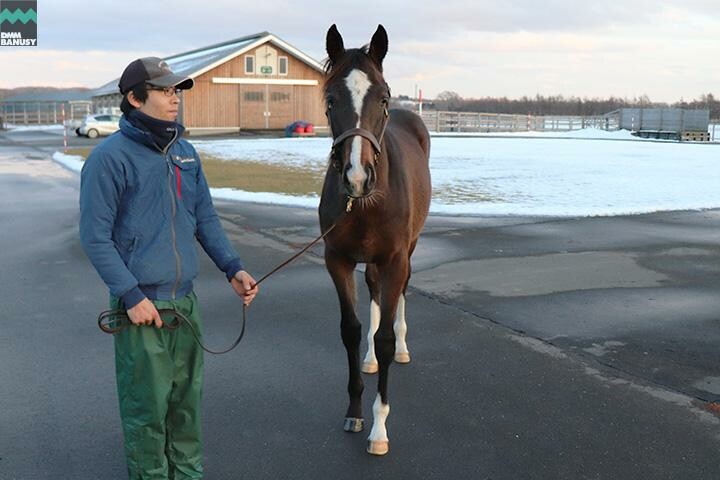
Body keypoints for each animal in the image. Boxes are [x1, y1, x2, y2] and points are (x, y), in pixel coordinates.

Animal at [318, 24, 430, 456]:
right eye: (330, 99)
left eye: (382, 97)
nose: (356, 177)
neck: (365, 203)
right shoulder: (337, 259)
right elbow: (350, 329)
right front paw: (354, 410)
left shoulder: (395, 259)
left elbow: (384, 336)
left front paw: (380, 427)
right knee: (375, 292)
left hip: (406, 253)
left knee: (398, 296)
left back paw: (401, 349)